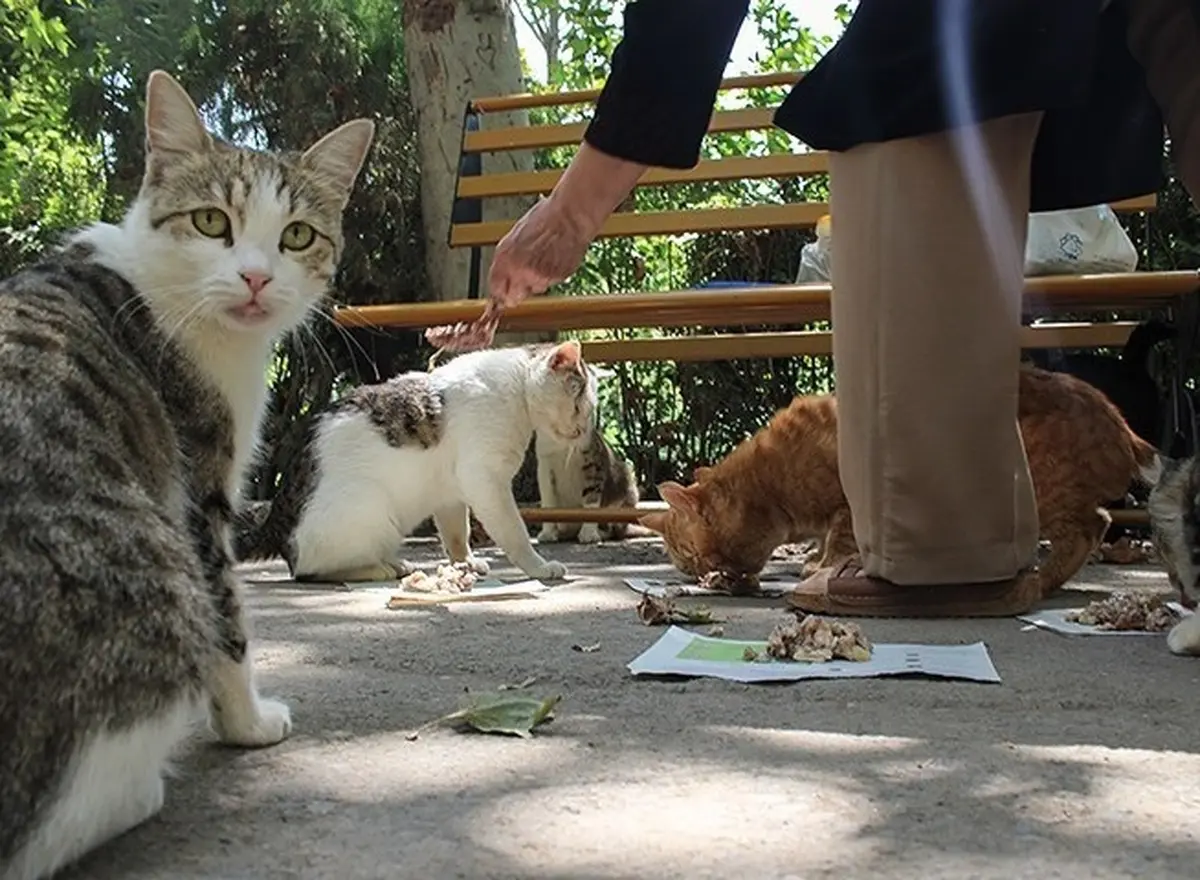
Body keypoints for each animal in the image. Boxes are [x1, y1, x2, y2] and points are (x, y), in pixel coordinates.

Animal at [0, 70, 372, 878]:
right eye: (210, 221)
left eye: (298, 234)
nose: (257, 277)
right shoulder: (198, 482)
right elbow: (228, 615)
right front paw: (248, 722)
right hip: (151, 578)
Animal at [234, 340, 600, 581]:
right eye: (579, 405)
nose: (582, 430)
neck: (517, 391)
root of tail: (277, 518)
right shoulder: (485, 480)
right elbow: (515, 532)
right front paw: (539, 566)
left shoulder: (452, 494)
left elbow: (457, 535)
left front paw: (465, 564)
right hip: (372, 508)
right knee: (308, 570)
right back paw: (381, 568)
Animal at [537, 364, 643, 542]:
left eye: (592, 408)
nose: (583, 425)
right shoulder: (545, 463)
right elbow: (548, 498)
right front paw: (547, 533)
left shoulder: (594, 459)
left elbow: (591, 496)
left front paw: (589, 534)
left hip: (626, 482)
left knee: (615, 528)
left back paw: (600, 532)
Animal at [648, 364, 1161, 597]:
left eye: (691, 557)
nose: (698, 576)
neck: (770, 483)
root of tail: (1116, 419)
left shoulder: (847, 502)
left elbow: (841, 536)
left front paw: (821, 566)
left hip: (1037, 492)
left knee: (1090, 527)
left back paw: (1043, 578)